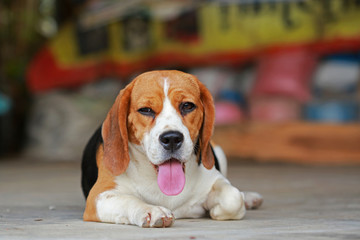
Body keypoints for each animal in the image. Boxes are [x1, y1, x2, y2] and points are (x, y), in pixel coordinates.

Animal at [81, 70, 262, 228]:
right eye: (145, 110)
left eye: (187, 106)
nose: (172, 139)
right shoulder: (98, 197)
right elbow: (129, 200)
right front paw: (151, 210)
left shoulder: (214, 178)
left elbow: (233, 197)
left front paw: (217, 210)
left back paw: (249, 197)